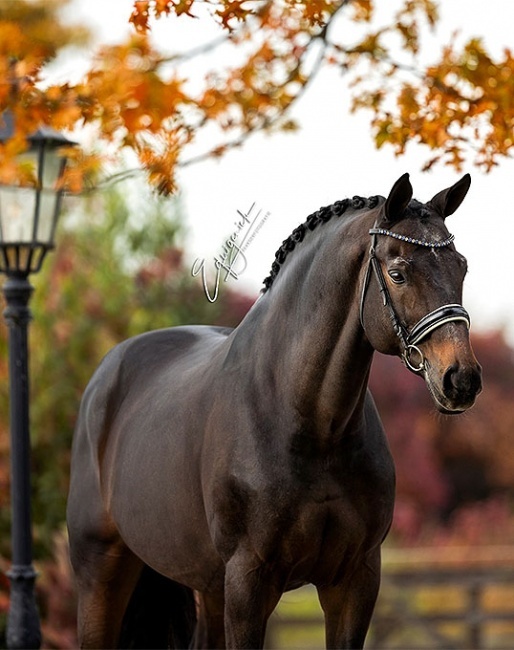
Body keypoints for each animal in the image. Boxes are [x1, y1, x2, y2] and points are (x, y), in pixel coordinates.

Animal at [67, 173, 480, 648]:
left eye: (461, 266)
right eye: (397, 273)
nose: (461, 379)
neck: (309, 425)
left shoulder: (355, 580)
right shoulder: (249, 582)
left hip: (207, 585)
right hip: (100, 571)